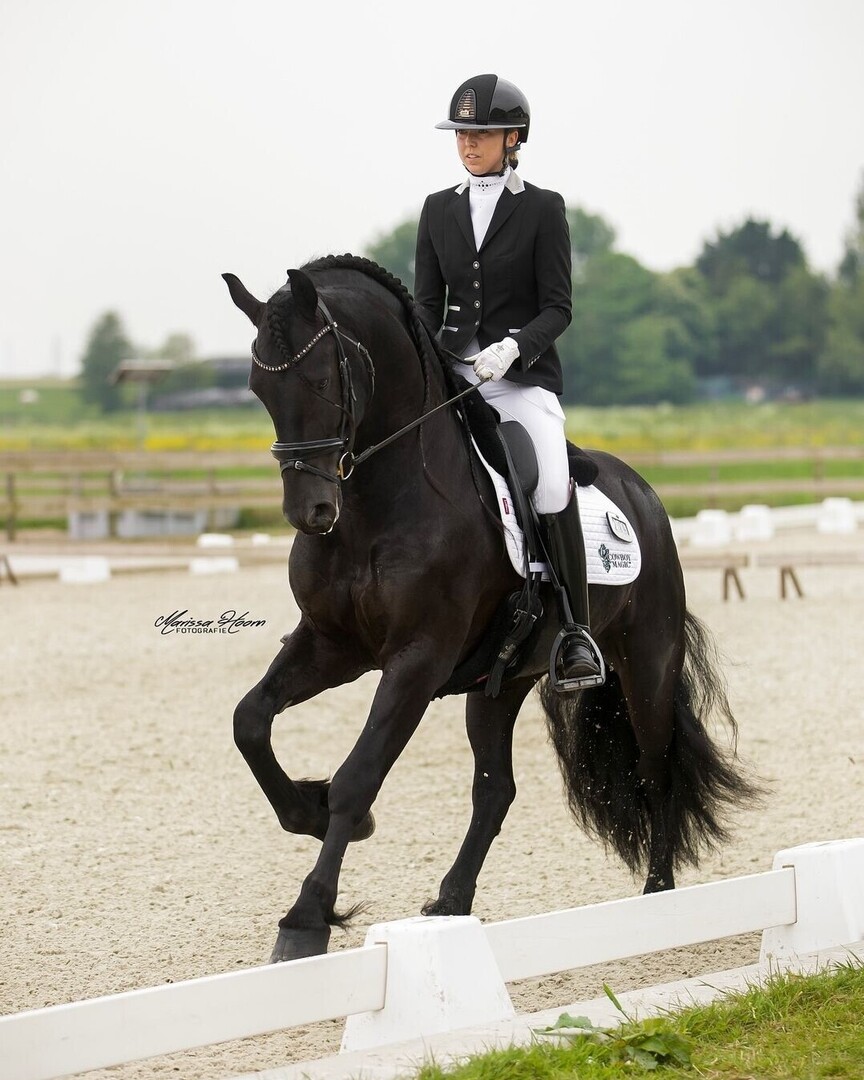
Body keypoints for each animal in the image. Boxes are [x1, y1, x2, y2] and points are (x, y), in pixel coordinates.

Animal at [222, 254, 756, 963]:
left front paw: (307, 917)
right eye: (259, 387)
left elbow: (360, 774)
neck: (378, 502)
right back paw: (450, 903)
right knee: (495, 789)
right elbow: (250, 721)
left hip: (647, 658)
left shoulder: (417, 660)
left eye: (319, 379)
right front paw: (309, 809)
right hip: (499, 682)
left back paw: (658, 900)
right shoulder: (331, 645)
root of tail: (642, 491)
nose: (309, 512)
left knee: (654, 769)